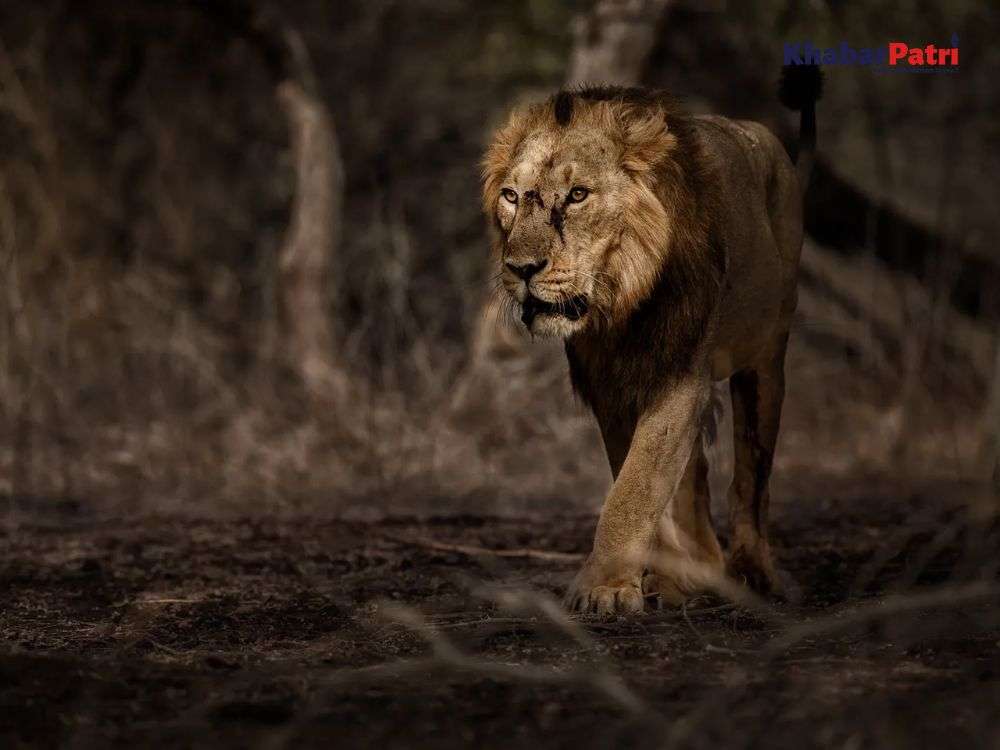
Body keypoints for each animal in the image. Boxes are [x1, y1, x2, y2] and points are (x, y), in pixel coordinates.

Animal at [481, 69, 822, 614]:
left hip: (766, 360)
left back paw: (753, 574)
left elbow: (634, 489)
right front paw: (655, 580)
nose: (521, 269)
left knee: (752, 477)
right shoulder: (612, 389)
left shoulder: (681, 374)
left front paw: (603, 587)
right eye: (511, 196)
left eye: (578, 195)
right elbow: (641, 484)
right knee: (695, 479)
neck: (621, 301)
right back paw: (697, 572)